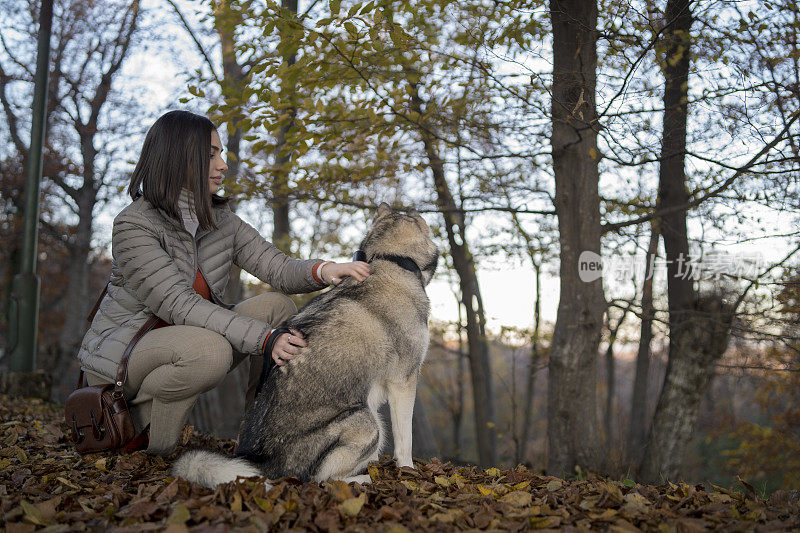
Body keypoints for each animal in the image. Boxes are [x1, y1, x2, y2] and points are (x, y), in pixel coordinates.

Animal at [171, 203, 440, 486]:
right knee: (321, 479)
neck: (391, 260)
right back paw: (363, 479)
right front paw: (408, 470)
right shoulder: (403, 381)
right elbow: (405, 440)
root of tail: (264, 462)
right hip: (366, 422)